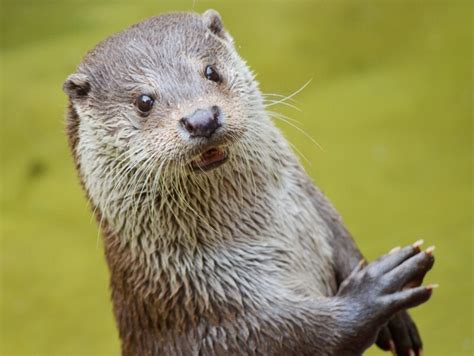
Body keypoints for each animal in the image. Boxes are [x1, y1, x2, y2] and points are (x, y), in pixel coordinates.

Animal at [64, 9, 436, 354]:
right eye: (144, 101)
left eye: (211, 71)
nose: (202, 118)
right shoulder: (215, 317)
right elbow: (305, 335)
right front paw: (377, 290)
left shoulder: (315, 206)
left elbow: (343, 239)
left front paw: (397, 321)